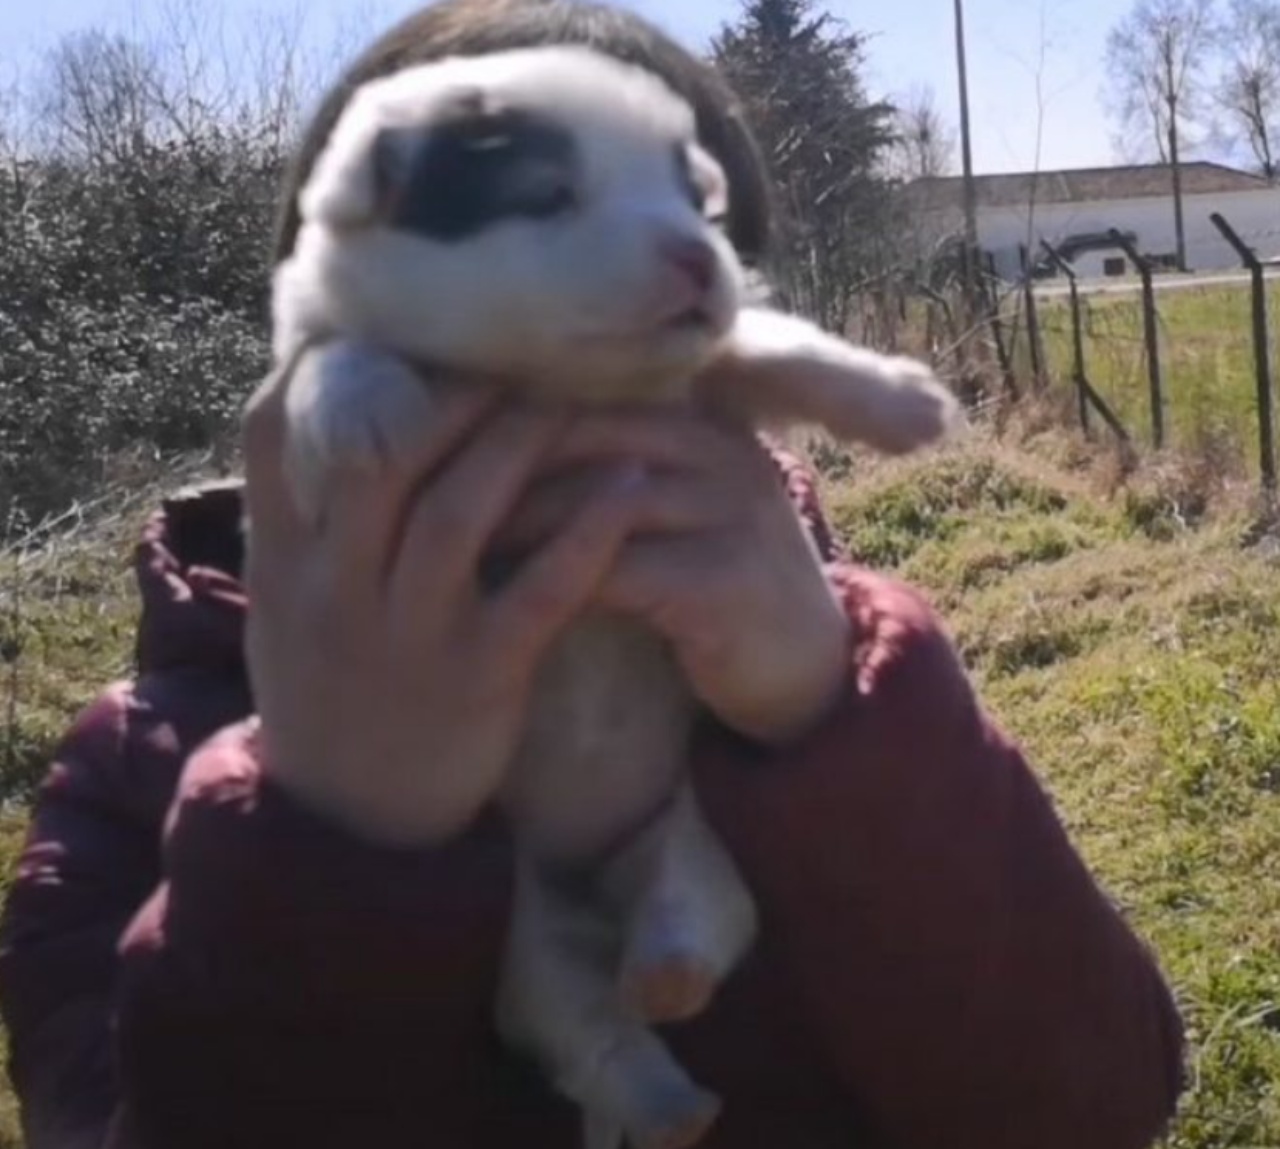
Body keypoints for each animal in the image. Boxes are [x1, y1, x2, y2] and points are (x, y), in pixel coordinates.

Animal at [272, 44, 962, 1146]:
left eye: (690, 198)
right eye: (547, 194)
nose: (696, 258)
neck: (565, 386)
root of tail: (595, 884)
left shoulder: (707, 370)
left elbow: (767, 336)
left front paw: (900, 399)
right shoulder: (312, 336)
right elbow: (328, 356)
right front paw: (371, 410)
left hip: (689, 829)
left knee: (697, 916)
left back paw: (668, 982)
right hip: (520, 929)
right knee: (582, 1022)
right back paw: (663, 1093)